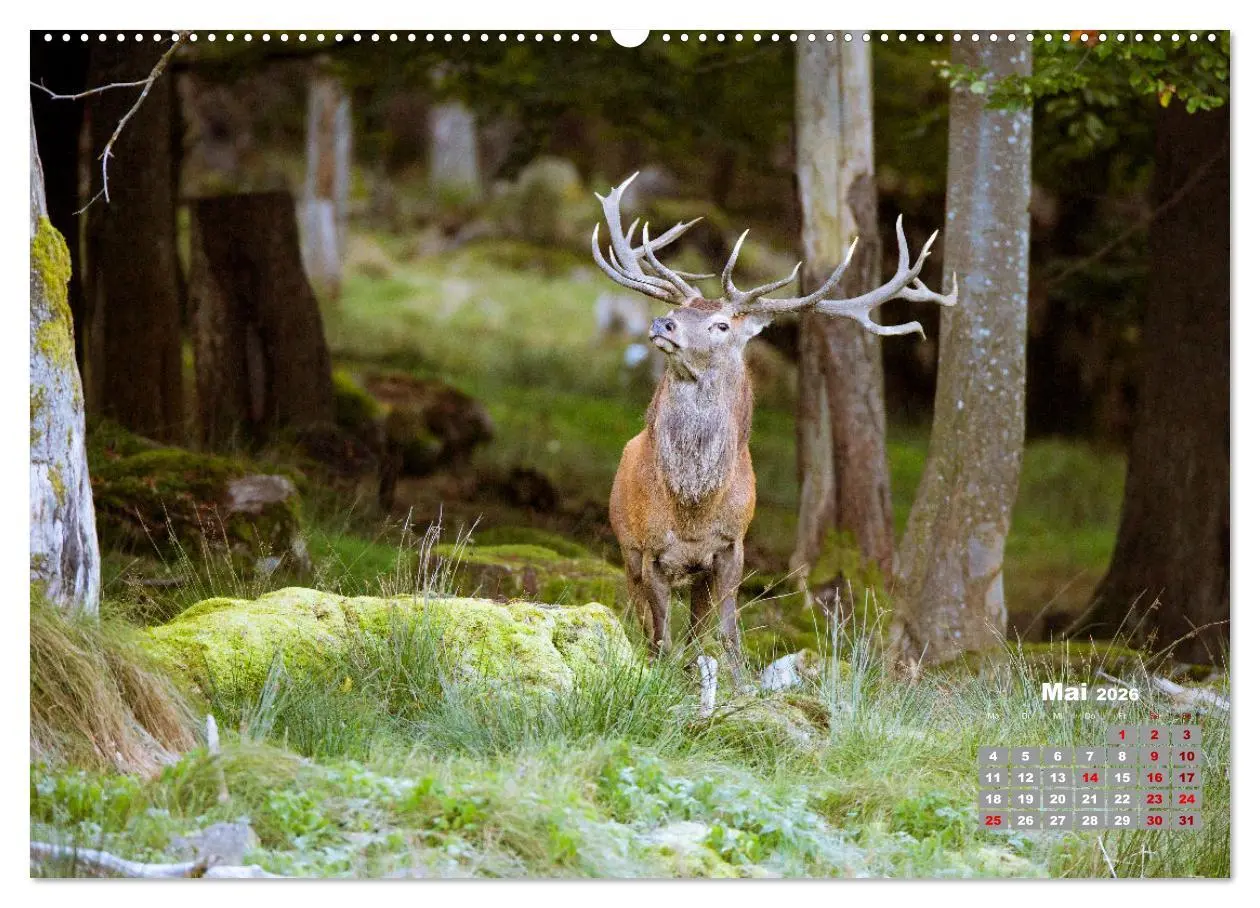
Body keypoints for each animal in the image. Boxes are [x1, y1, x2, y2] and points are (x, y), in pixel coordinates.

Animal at [593, 173, 958, 677]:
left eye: (722, 325)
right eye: (681, 312)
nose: (662, 323)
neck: (692, 505)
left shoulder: (731, 546)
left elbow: (727, 631)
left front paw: (735, 678)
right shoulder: (649, 549)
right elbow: (660, 635)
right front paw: (661, 674)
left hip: (695, 573)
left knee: (696, 624)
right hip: (625, 545)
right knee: (644, 619)